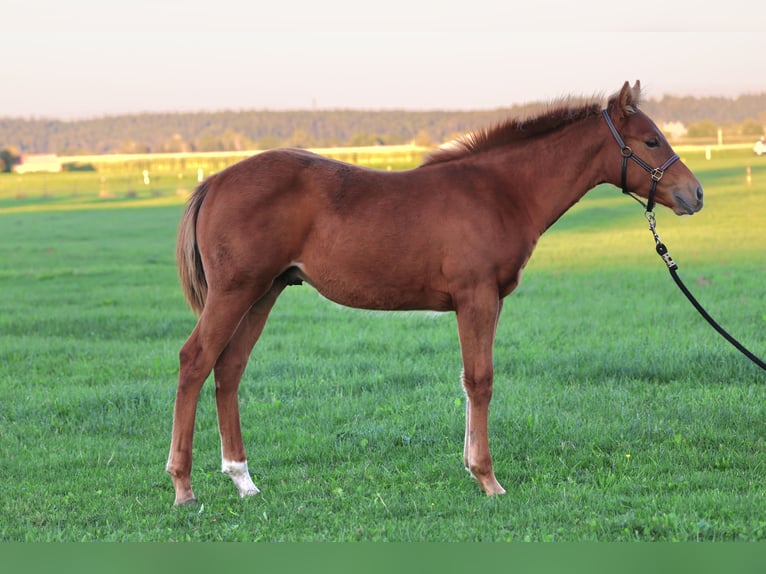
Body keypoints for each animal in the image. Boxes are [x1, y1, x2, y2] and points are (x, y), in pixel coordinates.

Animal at [166, 81, 703, 505]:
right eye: (651, 140)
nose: (695, 194)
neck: (500, 191)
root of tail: (214, 182)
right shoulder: (476, 297)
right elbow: (481, 380)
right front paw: (488, 479)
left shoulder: (486, 301)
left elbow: (469, 381)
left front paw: (472, 467)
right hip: (236, 291)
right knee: (195, 360)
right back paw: (183, 486)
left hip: (264, 292)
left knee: (229, 369)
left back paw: (243, 480)